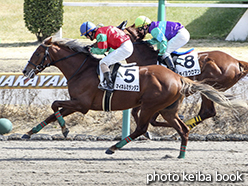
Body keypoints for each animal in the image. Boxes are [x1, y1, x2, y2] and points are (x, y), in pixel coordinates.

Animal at [20, 36, 245, 158]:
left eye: (37, 53)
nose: (25, 71)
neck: (82, 70)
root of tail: (179, 78)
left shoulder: (81, 104)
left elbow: (54, 105)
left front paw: (65, 129)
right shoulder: (76, 103)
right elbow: (52, 111)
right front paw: (30, 132)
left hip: (151, 105)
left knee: (142, 127)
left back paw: (113, 147)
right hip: (168, 108)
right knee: (182, 128)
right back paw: (180, 154)